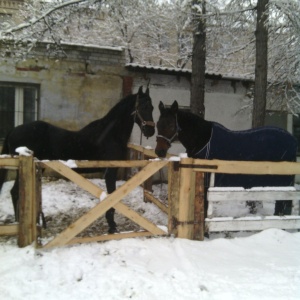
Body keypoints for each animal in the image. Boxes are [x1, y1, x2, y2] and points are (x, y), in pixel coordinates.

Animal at [0, 85, 155, 233]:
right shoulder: (110, 171)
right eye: (143, 107)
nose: (150, 131)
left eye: (152, 107)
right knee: (15, 192)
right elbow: (111, 196)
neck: (111, 134)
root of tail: (13, 130)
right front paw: (112, 227)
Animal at [156, 101, 296, 216]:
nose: (159, 151)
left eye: (170, 124)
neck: (203, 140)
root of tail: (291, 139)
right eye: (158, 124)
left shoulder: (207, 183)